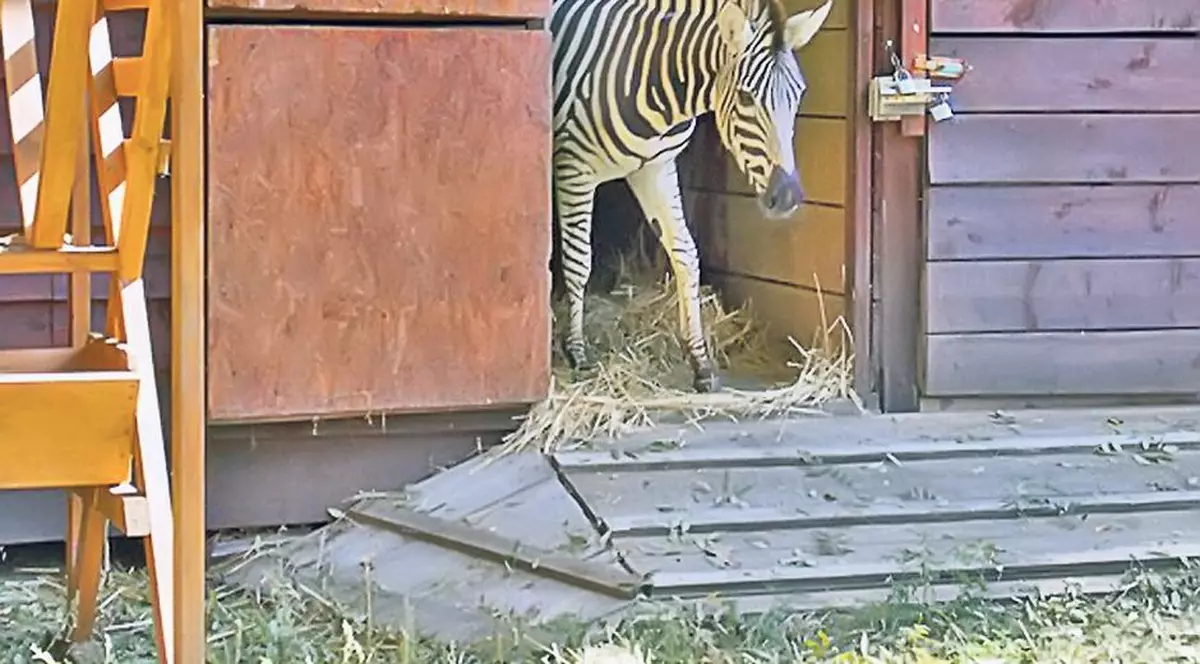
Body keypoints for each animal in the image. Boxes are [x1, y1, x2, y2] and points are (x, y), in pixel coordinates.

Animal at [550, 0, 834, 393]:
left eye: (800, 94)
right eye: (745, 97)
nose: (788, 196)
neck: (654, 77)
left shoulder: (656, 168)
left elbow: (686, 254)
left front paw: (700, 362)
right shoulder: (574, 168)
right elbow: (578, 262)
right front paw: (576, 352)